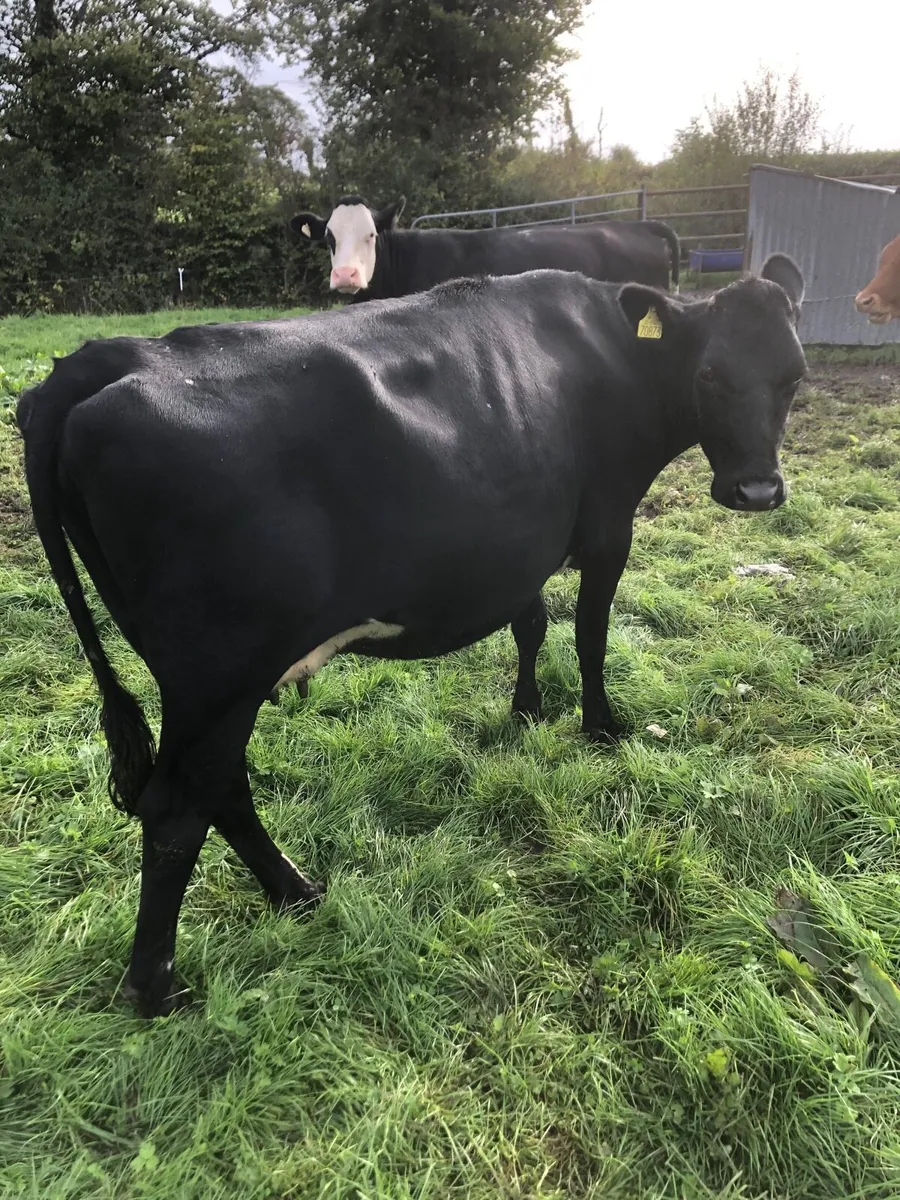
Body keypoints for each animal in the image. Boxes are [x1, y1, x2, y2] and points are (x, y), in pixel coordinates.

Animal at [17, 254, 805, 1018]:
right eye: (709, 375)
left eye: (794, 376)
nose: (758, 491)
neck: (614, 353)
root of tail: (105, 357)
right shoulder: (609, 527)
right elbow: (589, 636)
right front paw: (602, 726)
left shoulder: (519, 542)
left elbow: (531, 623)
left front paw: (526, 709)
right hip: (219, 670)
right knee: (178, 810)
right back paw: (156, 987)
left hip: (200, 676)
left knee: (222, 790)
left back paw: (295, 891)